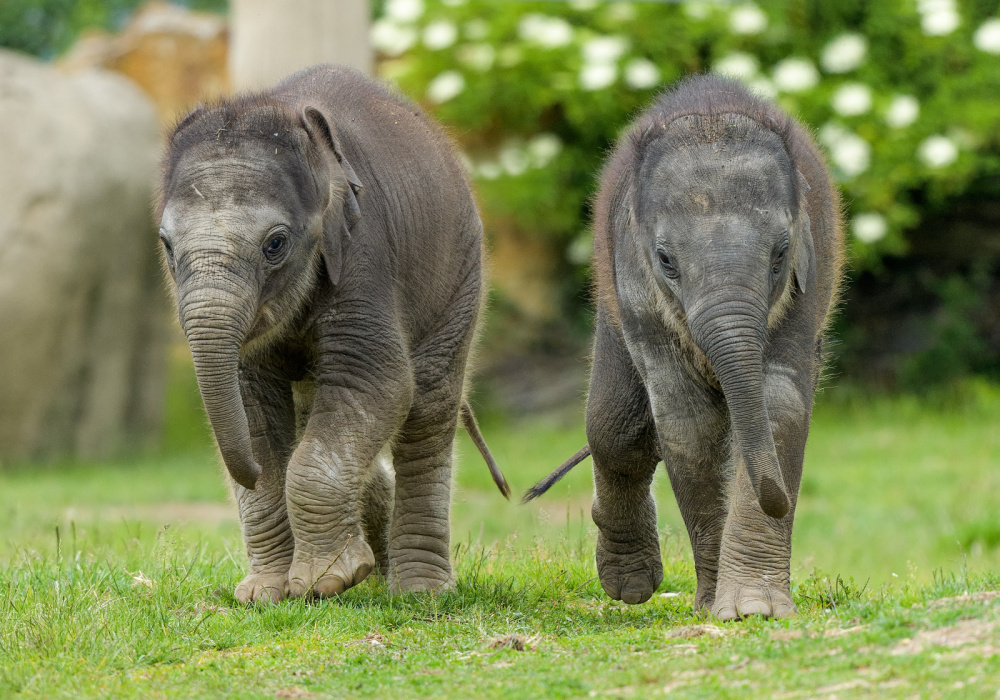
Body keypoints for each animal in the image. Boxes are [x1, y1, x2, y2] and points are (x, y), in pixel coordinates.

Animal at [161, 63, 512, 604]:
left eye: (275, 244)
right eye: (165, 244)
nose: (251, 470)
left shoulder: (363, 253)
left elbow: (377, 381)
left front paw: (326, 581)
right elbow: (253, 402)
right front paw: (264, 594)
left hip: (459, 279)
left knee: (428, 407)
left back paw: (419, 592)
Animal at [524, 76, 844, 620]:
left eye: (781, 253)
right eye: (666, 260)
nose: (779, 500)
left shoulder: (810, 281)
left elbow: (780, 407)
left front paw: (753, 608)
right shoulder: (636, 288)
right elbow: (689, 427)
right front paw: (716, 606)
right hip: (611, 308)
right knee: (615, 427)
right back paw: (629, 585)